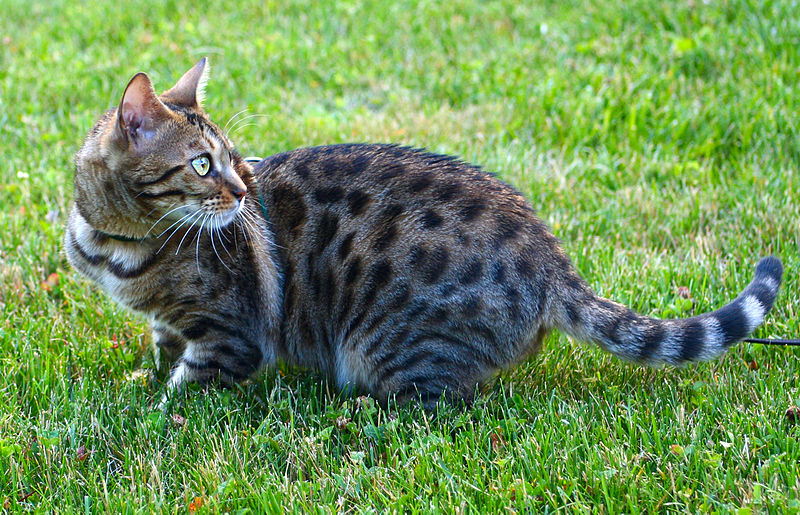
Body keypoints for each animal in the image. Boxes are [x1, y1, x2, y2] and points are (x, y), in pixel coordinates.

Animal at [67, 59, 780, 408]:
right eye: (201, 165)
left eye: (233, 160)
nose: (242, 193)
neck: (117, 244)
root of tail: (551, 259)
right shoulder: (169, 320)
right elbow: (162, 345)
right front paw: (143, 379)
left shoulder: (230, 334)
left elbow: (186, 386)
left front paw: (148, 411)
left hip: (385, 342)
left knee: (445, 403)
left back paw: (359, 412)